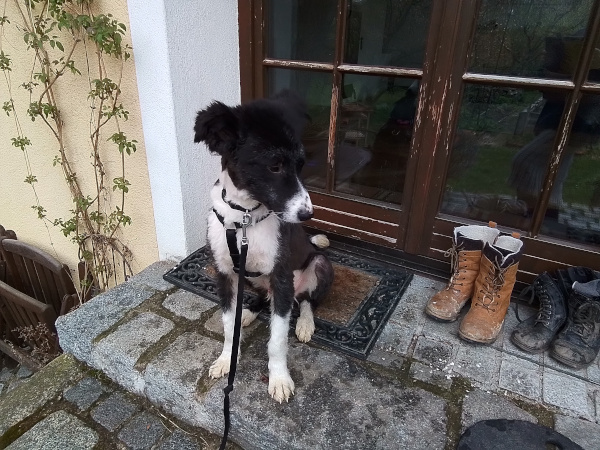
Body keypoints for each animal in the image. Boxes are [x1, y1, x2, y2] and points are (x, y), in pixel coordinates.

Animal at [194, 91, 334, 402]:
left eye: (301, 164)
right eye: (274, 166)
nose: (307, 214)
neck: (244, 218)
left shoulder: (281, 277)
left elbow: (277, 339)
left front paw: (279, 379)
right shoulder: (224, 274)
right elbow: (227, 325)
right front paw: (227, 359)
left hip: (320, 265)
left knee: (306, 300)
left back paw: (305, 323)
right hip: (249, 276)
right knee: (263, 298)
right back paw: (248, 313)